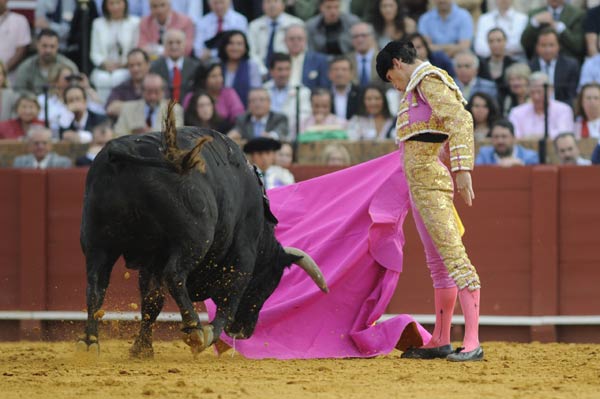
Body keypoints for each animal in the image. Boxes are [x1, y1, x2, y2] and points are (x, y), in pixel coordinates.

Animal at [77, 123, 328, 358]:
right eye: (269, 285)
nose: (243, 332)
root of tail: (123, 150)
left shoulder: (152, 260)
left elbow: (152, 300)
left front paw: (142, 349)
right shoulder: (244, 255)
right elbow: (229, 297)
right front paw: (208, 332)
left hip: (97, 243)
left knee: (95, 286)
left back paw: (89, 342)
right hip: (195, 239)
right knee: (175, 275)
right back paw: (195, 328)